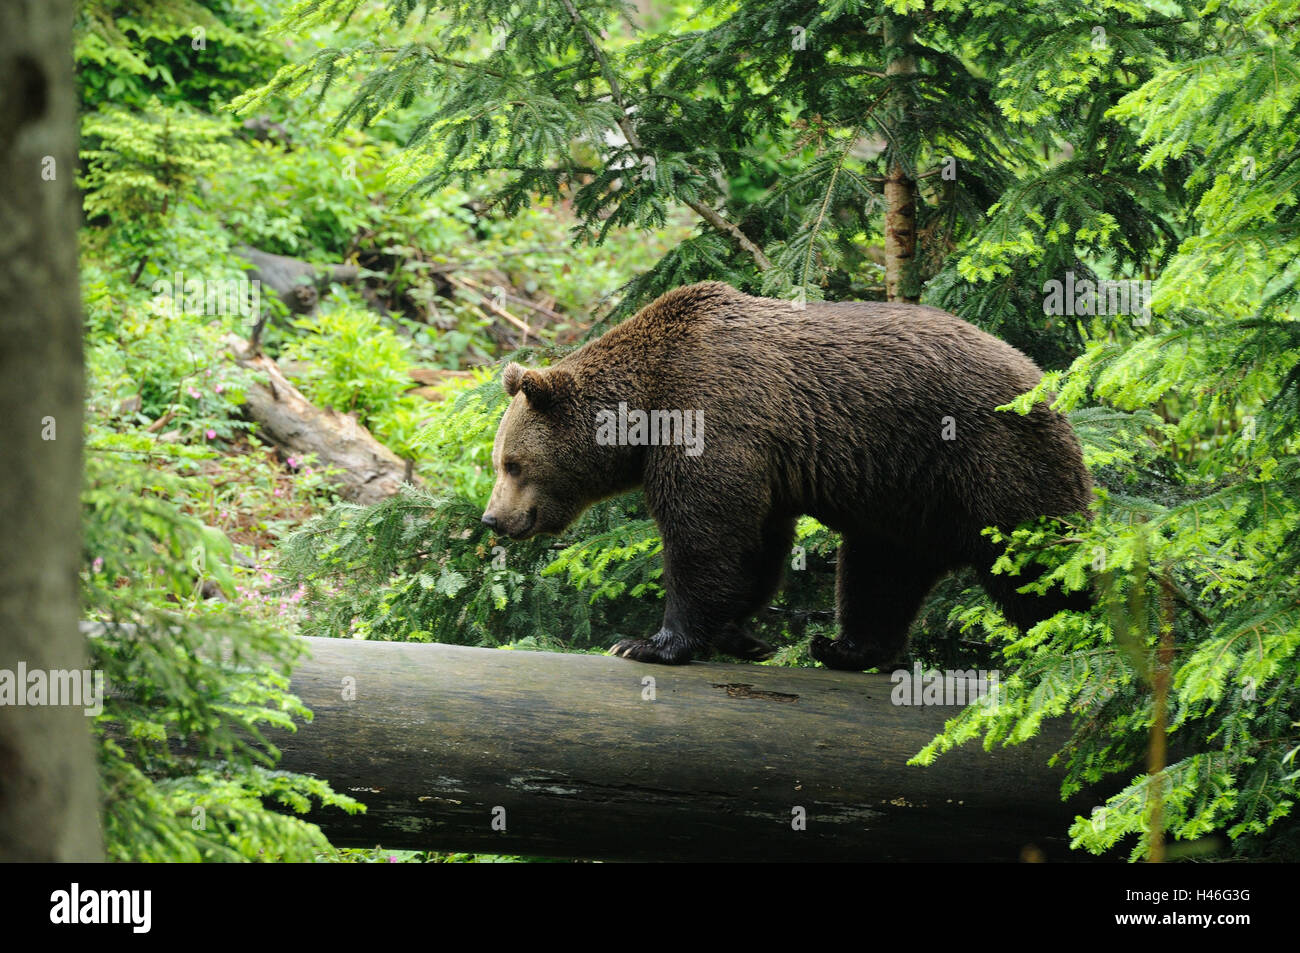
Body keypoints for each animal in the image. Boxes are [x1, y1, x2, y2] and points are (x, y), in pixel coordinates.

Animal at [483, 280, 1092, 670]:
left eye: (512, 463)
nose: (493, 519)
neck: (648, 405)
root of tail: (1046, 382)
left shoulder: (714, 415)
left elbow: (706, 533)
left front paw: (648, 642)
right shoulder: (764, 461)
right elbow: (754, 543)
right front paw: (742, 637)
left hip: (989, 461)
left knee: (1038, 564)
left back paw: (1068, 640)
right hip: (909, 496)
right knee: (881, 568)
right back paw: (845, 648)